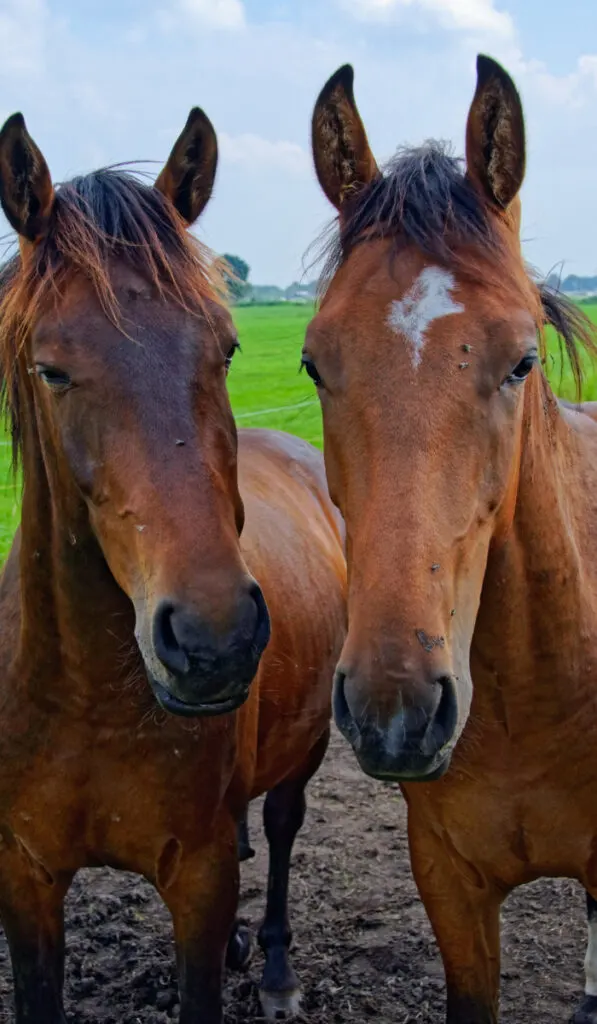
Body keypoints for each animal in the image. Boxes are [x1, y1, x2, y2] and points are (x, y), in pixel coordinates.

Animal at [0, 108, 348, 1019]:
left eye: (225, 349)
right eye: (51, 369)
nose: (212, 640)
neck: (88, 700)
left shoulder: (197, 880)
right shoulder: (26, 878)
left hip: (303, 754)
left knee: (281, 828)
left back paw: (273, 967)